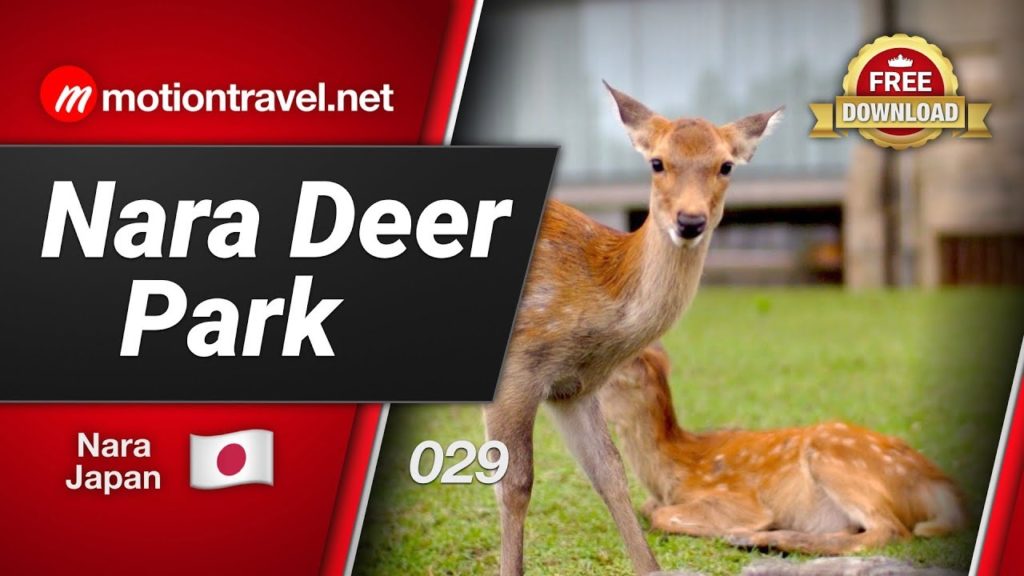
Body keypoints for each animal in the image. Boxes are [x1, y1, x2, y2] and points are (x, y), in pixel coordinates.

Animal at [483, 81, 782, 575]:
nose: (690, 221)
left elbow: (610, 473)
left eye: (725, 165)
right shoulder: (518, 369)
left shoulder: (574, 388)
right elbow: (516, 483)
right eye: (657, 162)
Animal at [598, 343, 967, 555]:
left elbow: (660, 515)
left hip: (834, 456)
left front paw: (745, 529)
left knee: (888, 531)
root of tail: (941, 487)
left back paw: (758, 539)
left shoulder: (736, 498)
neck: (672, 468)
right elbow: (648, 508)